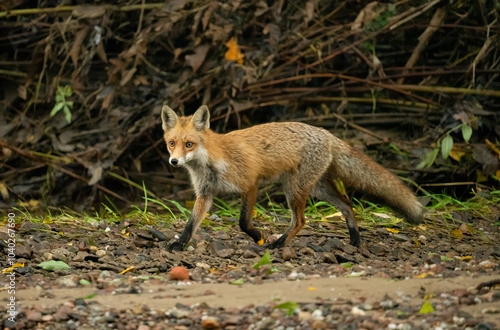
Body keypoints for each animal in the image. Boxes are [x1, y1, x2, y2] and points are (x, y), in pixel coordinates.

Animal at [161, 104, 422, 251]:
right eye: (172, 143)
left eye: (189, 144)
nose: (174, 162)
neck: (212, 161)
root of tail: (327, 133)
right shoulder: (205, 194)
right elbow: (190, 224)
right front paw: (179, 244)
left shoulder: (250, 184)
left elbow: (243, 221)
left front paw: (258, 237)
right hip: (316, 188)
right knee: (348, 205)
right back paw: (355, 240)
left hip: (294, 189)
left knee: (300, 221)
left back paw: (278, 244)